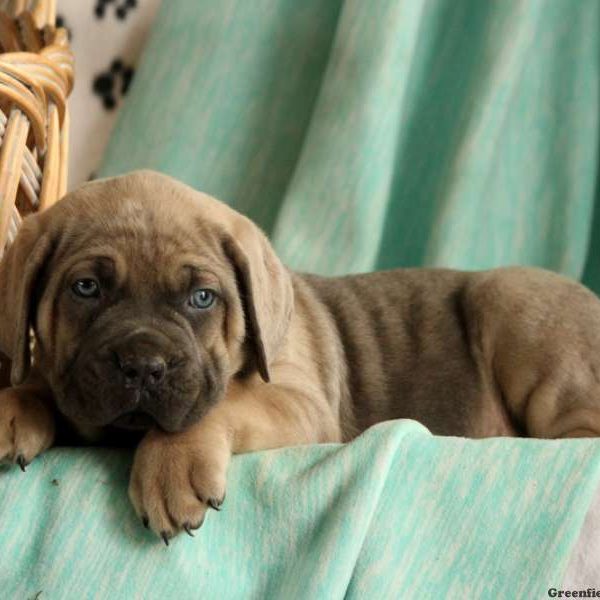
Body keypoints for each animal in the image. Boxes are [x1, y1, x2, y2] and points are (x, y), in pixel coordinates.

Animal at [1, 170, 600, 540]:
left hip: (510, 298)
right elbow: (40, 383)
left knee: (578, 434)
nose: (143, 366)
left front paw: (170, 466)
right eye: (86, 289)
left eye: (202, 298)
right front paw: (13, 408)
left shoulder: (298, 403)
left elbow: (218, 403)